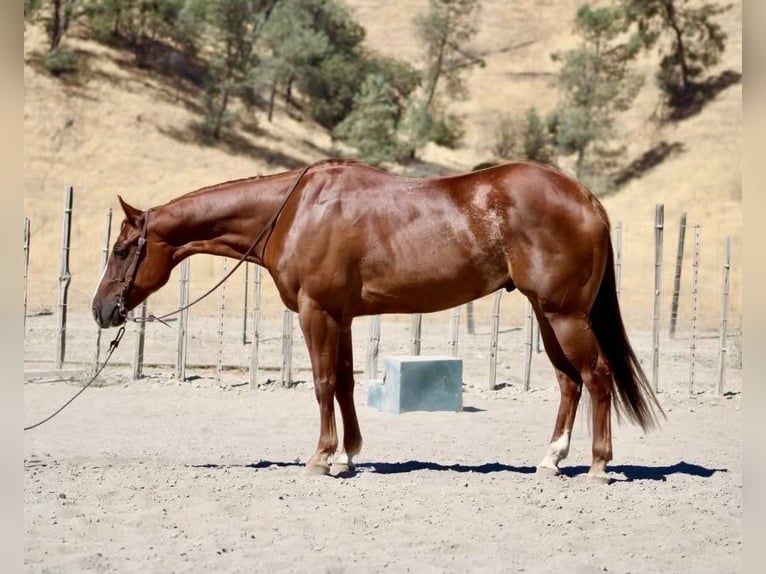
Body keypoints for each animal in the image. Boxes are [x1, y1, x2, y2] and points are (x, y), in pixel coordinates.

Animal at [92, 158, 664, 481]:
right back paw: (551, 461)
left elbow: (323, 384)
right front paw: (349, 455)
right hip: (548, 315)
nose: (101, 310)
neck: (294, 211)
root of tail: (586, 198)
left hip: (565, 315)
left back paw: (598, 466)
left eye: (121, 250)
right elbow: (345, 384)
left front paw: (322, 458)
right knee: (569, 383)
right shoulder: (341, 317)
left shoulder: (317, 312)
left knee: (596, 377)